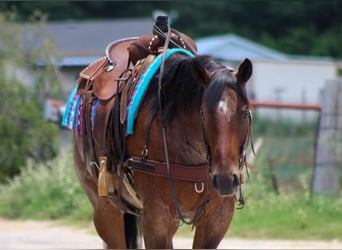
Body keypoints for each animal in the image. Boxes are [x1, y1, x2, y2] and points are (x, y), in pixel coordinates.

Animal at [67, 20, 254, 250]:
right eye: (203, 113)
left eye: (245, 113)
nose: (226, 179)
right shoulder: (157, 219)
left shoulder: (217, 218)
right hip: (106, 210)